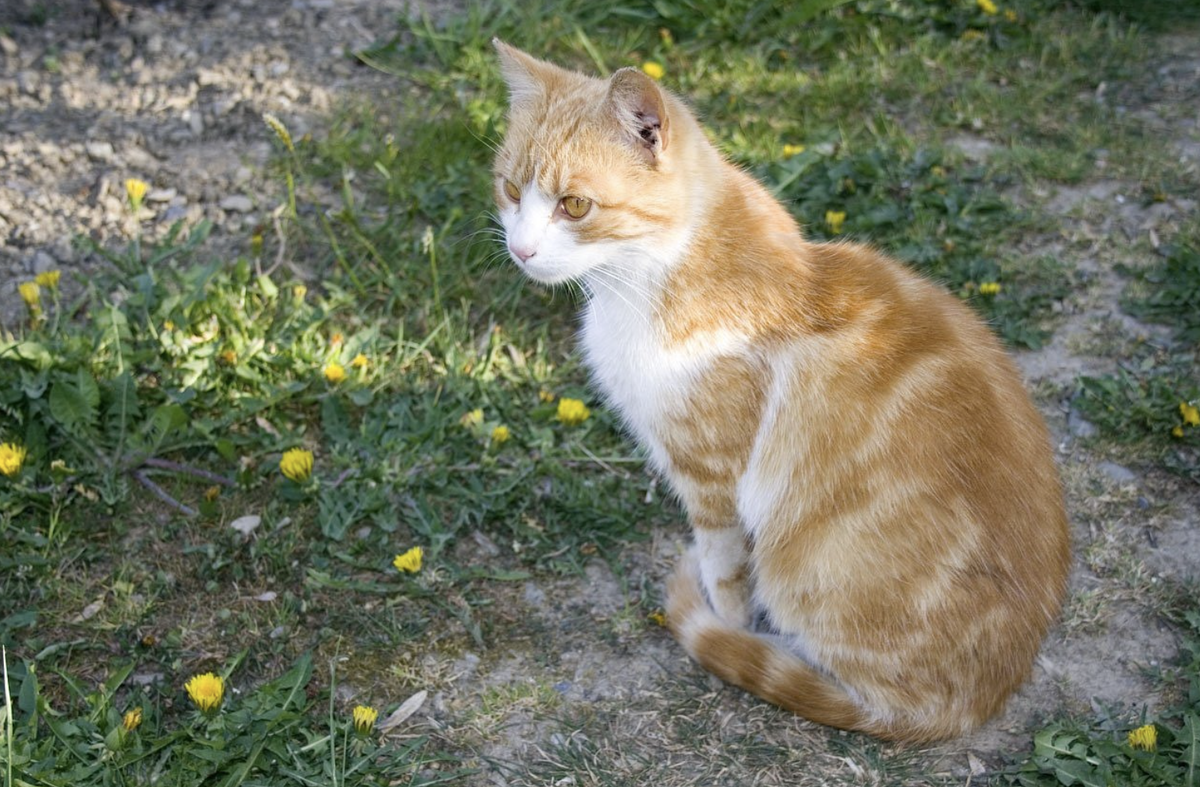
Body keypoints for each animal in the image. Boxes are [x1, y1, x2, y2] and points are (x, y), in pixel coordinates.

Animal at [492, 41, 1075, 743]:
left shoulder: (712, 476)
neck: (658, 275)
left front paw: (729, 622)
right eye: (511, 189)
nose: (521, 250)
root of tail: (977, 701)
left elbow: (726, 569)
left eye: (575, 206)